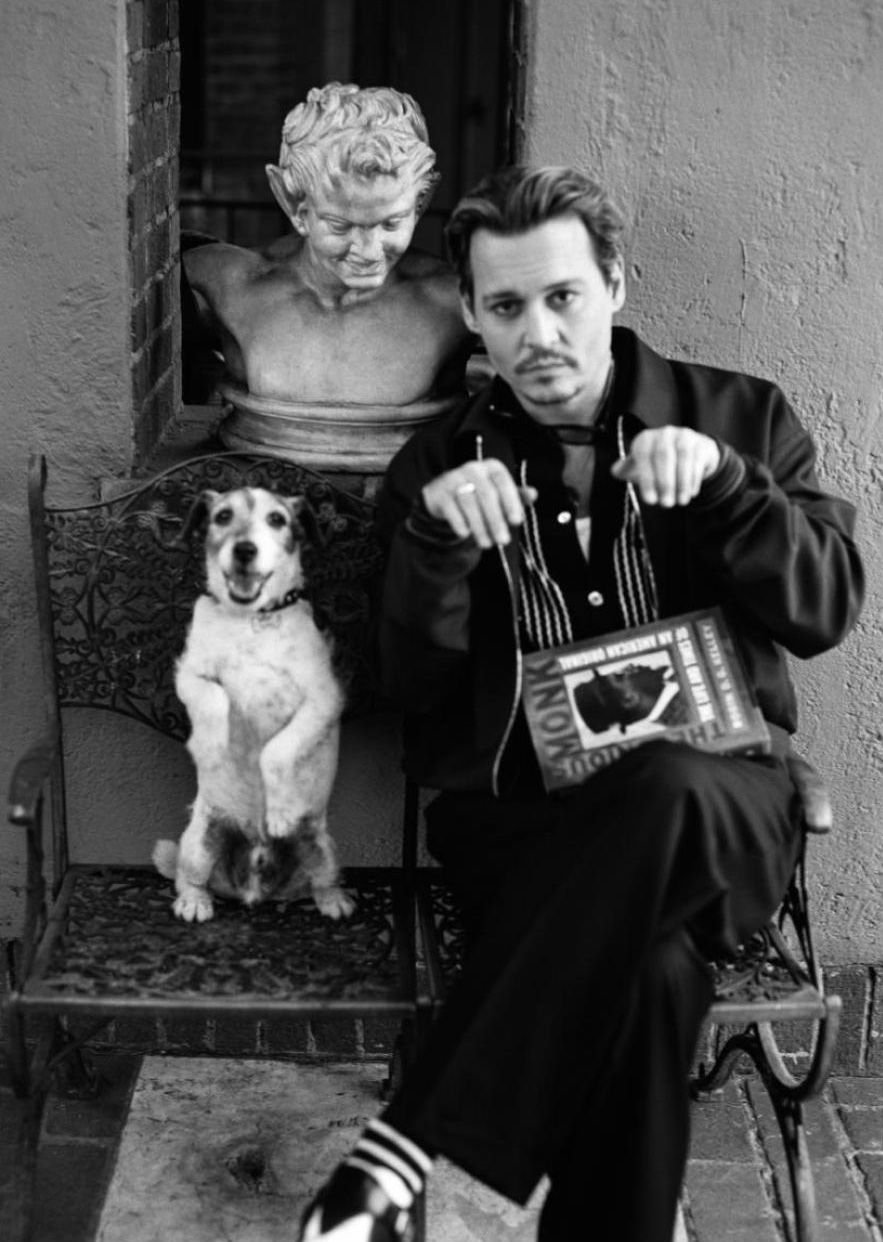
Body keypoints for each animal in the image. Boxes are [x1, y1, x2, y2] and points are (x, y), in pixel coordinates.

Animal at [153, 484, 355, 924]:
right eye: (223, 516)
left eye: (277, 519)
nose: (245, 549)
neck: (251, 620)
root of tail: (252, 888)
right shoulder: (190, 674)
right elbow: (214, 700)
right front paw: (211, 747)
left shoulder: (323, 699)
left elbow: (277, 751)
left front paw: (278, 811)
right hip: (198, 841)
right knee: (188, 878)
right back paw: (194, 902)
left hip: (322, 846)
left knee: (319, 882)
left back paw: (333, 900)